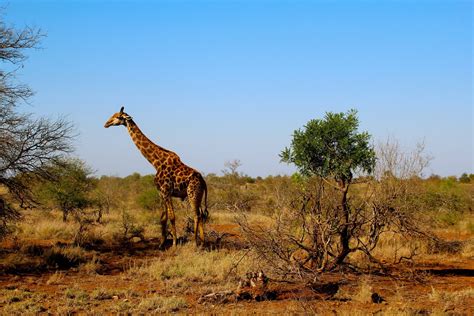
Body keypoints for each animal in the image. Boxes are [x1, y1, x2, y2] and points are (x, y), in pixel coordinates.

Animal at [104, 107, 208, 248]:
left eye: (118, 117)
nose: (106, 123)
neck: (155, 162)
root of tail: (204, 182)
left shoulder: (166, 191)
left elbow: (172, 217)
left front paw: (174, 243)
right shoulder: (160, 193)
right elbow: (163, 217)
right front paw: (162, 243)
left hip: (192, 193)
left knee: (196, 215)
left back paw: (195, 243)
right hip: (198, 195)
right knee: (201, 214)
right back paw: (203, 242)